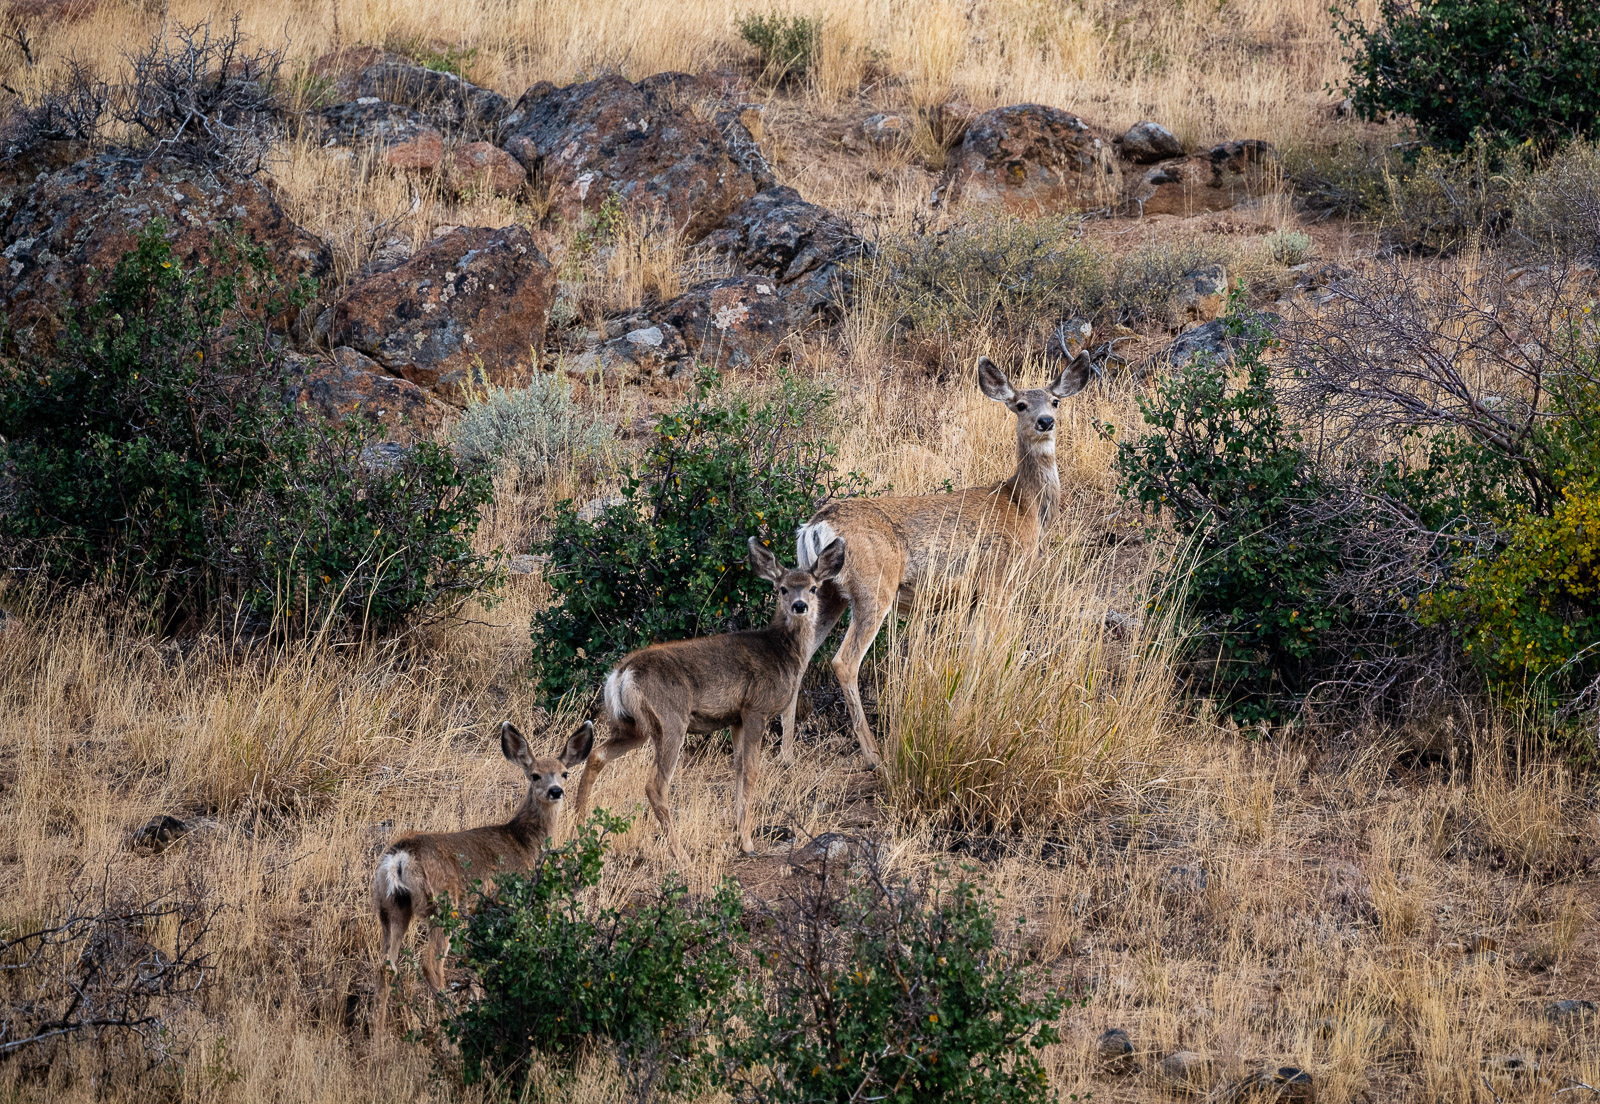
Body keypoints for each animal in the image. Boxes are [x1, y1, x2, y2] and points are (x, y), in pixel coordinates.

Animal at [372, 719, 594, 1023]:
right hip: (444, 905)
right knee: (431, 965)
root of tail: (400, 857)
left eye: (565, 773)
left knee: (386, 966)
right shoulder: (510, 900)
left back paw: (379, 1034)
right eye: (535, 775)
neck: (524, 842)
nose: (555, 791)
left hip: (390, 906)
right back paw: (452, 1024)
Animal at [574, 535, 847, 860]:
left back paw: (577, 828)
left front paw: (738, 835)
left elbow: (738, 770)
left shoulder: (736, 718)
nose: (800, 605)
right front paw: (748, 843)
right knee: (655, 785)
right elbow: (751, 771)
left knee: (596, 755)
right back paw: (680, 854)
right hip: (670, 719)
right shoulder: (756, 708)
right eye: (782, 588)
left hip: (632, 726)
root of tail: (622, 673)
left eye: (813, 587)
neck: (781, 652)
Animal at [783, 340, 1093, 769]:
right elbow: (995, 652)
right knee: (844, 662)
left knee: (799, 657)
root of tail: (816, 525)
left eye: (1055, 401)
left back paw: (786, 752)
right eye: (1019, 405)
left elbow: (973, 654)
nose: (1046, 421)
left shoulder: (972, 598)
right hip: (873, 586)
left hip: (826, 593)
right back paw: (874, 754)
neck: (1023, 505)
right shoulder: (998, 581)